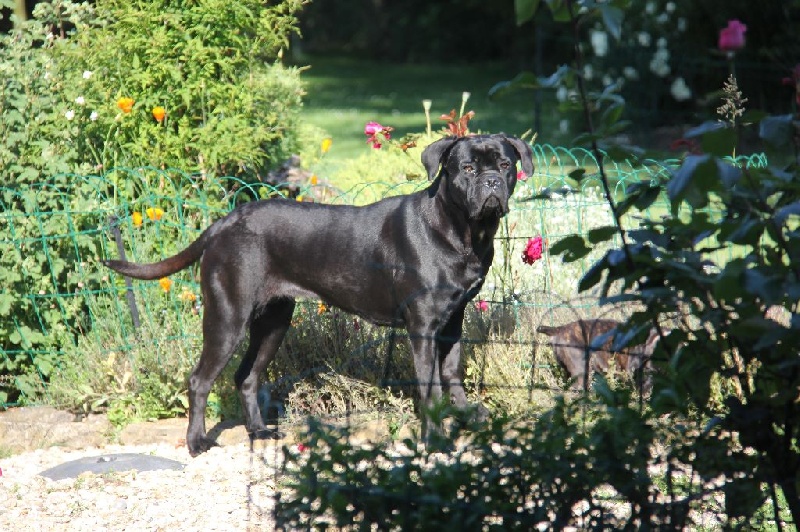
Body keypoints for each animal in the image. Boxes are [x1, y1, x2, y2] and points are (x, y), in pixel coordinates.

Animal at [104, 135, 532, 456]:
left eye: (505, 165)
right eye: (468, 169)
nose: (492, 182)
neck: (463, 231)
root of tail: (224, 222)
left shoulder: (453, 321)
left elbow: (452, 373)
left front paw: (467, 418)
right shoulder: (423, 326)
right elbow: (430, 388)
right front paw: (437, 440)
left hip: (274, 322)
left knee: (246, 376)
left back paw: (259, 432)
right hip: (228, 317)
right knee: (200, 380)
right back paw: (196, 442)